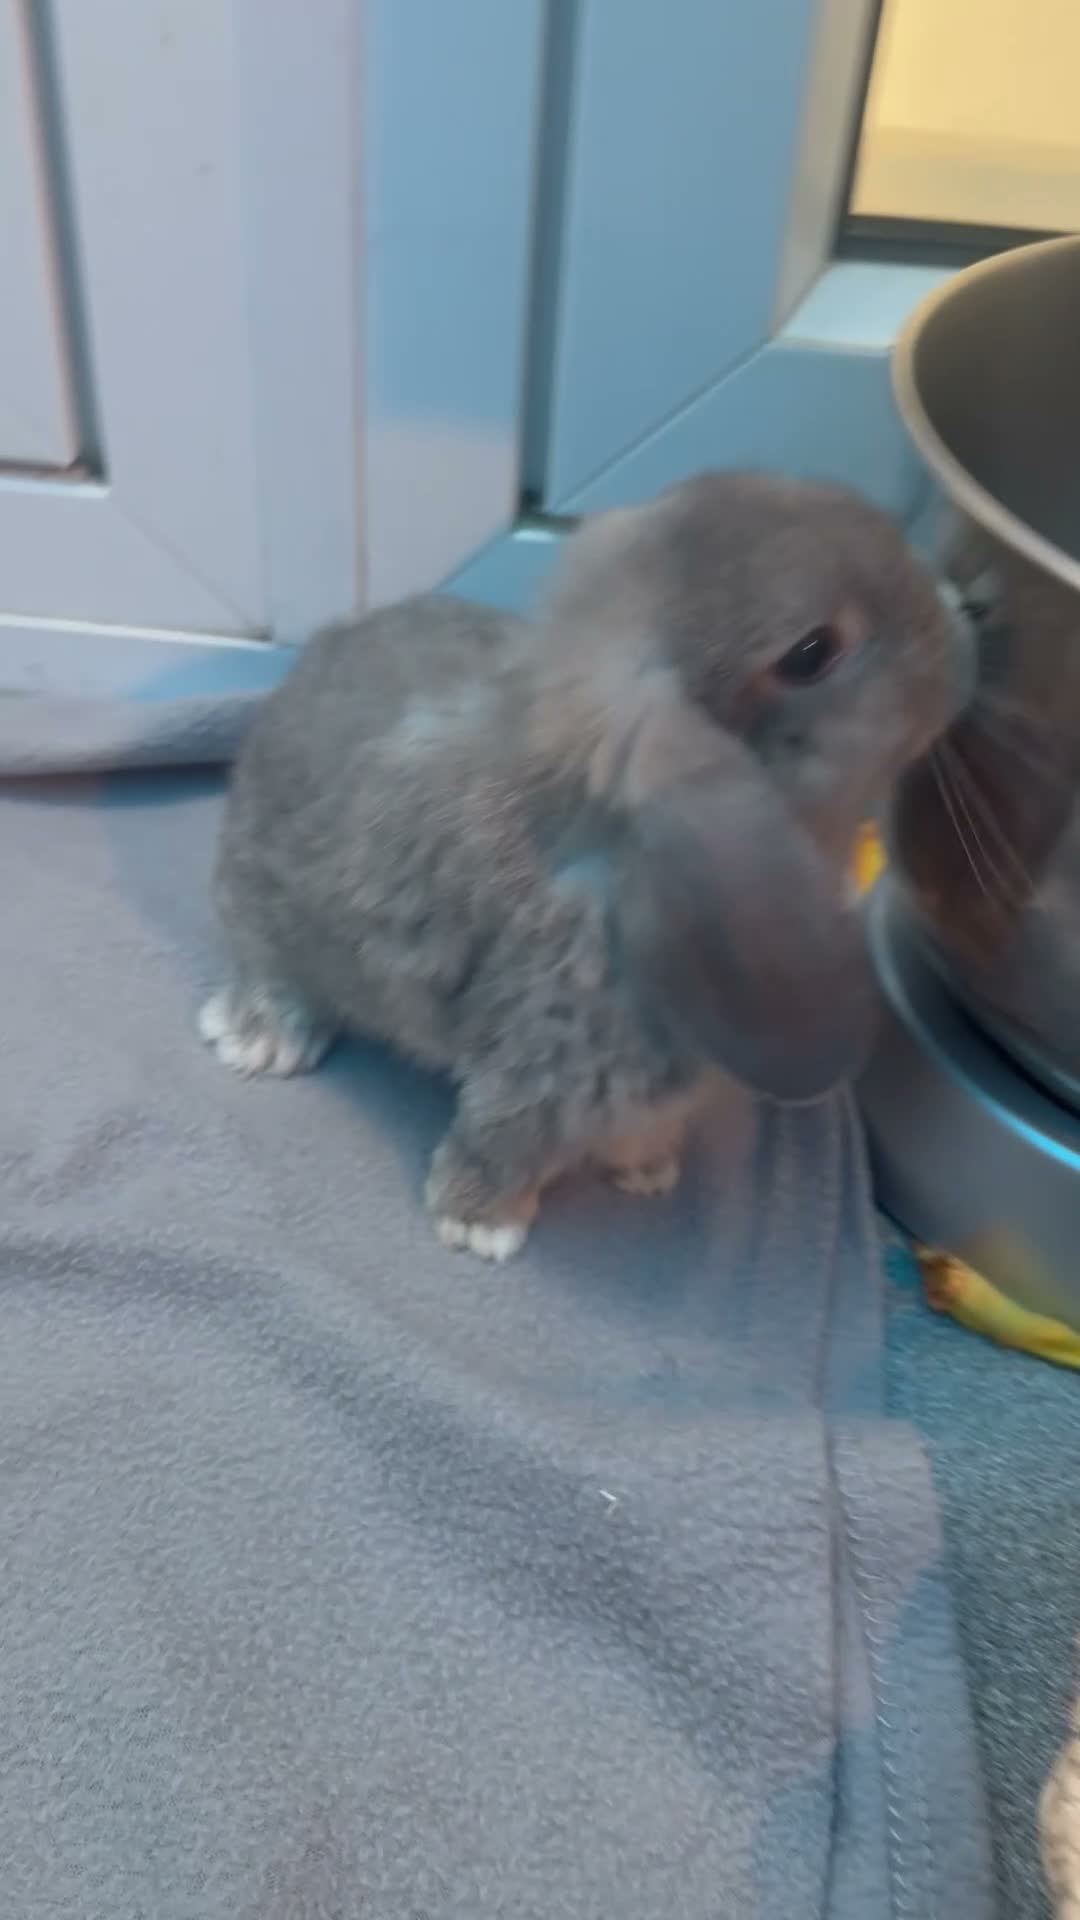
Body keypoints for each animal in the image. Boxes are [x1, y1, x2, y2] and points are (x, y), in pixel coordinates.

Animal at [200, 471, 966, 1260]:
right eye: (811, 652)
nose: (958, 623)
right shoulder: (544, 1071)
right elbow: (503, 1143)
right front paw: (477, 1226)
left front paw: (649, 1171)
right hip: (268, 917)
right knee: (269, 968)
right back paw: (260, 1039)